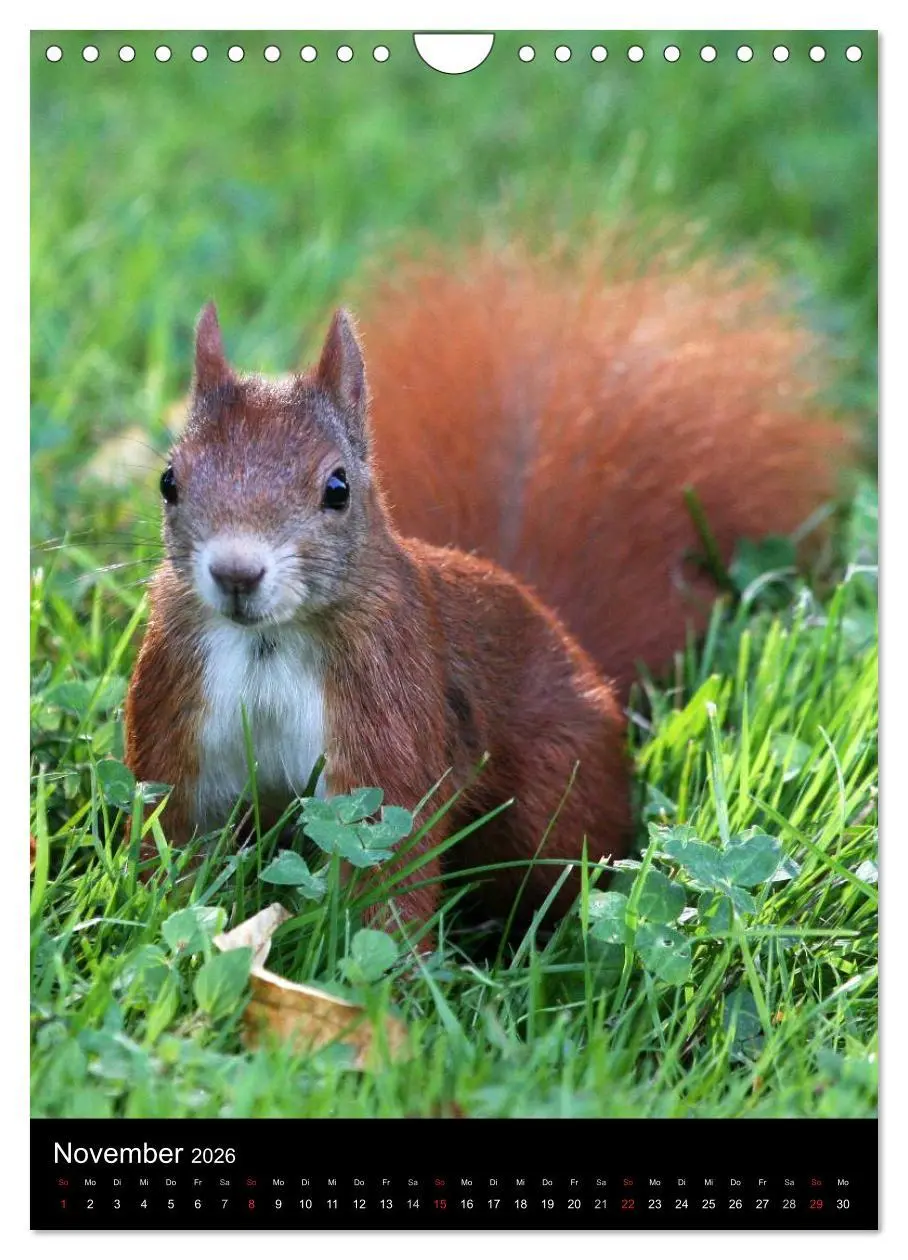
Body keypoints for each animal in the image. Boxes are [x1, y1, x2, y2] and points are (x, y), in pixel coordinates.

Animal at [124, 238, 851, 933]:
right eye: (169, 481)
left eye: (337, 488)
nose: (236, 572)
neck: (270, 640)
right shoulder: (178, 719)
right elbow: (171, 834)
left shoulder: (392, 718)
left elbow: (394, 870)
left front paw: (396, 971)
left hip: (552, 796)